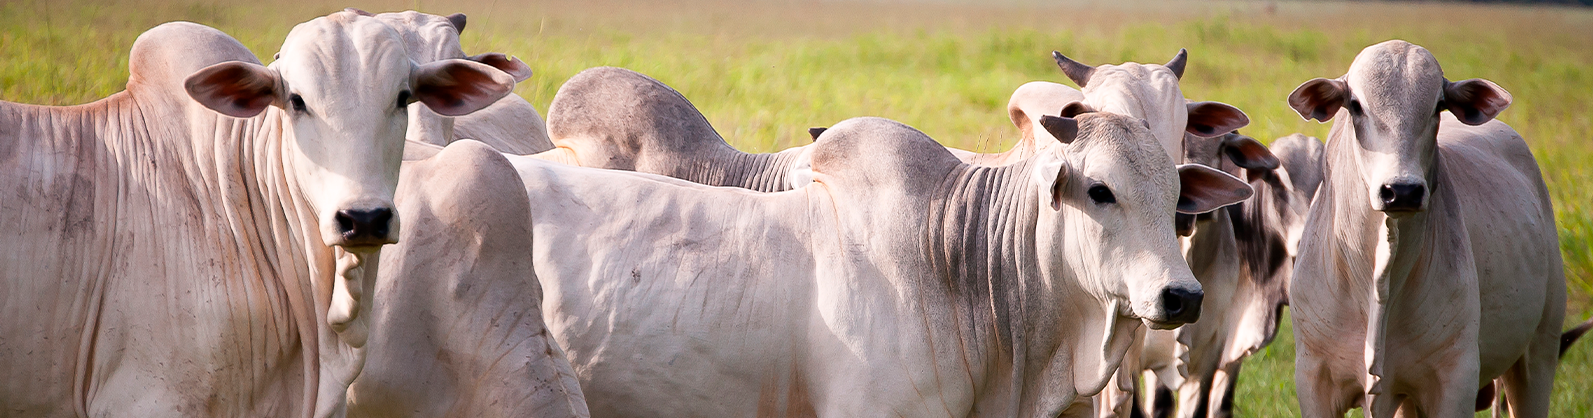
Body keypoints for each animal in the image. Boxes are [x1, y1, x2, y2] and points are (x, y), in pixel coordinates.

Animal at [1287, 40, 1561, 418]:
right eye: (1355, 105)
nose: (1401, 190)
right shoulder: (1314, 378)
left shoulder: (1456, 379)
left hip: (1539, 350)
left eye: (1438, 106)